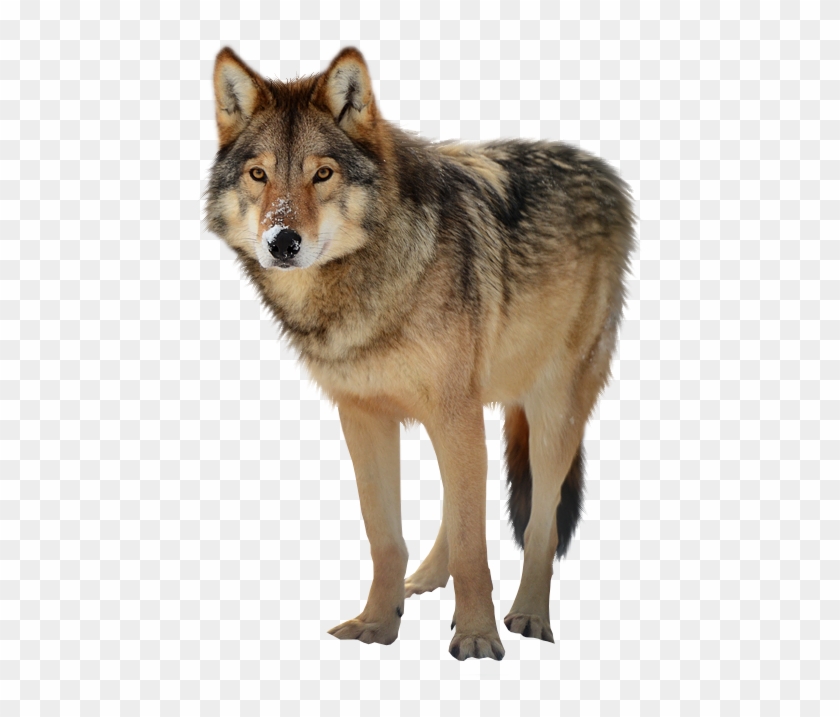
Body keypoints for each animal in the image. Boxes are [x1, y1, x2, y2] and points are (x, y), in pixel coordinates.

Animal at [205, 46, 634, 660]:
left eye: (322, 173)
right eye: (258, 174)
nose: (282, 242)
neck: (367, 291)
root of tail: (605, 172)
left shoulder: (453, 411)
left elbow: (480, 544)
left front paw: (478, 637)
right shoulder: (364, 417)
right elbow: (388, 538)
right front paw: (376, 624)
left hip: (552, 409)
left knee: (540, 523)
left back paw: (529, 614)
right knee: (458, 511)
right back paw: (428, 580)